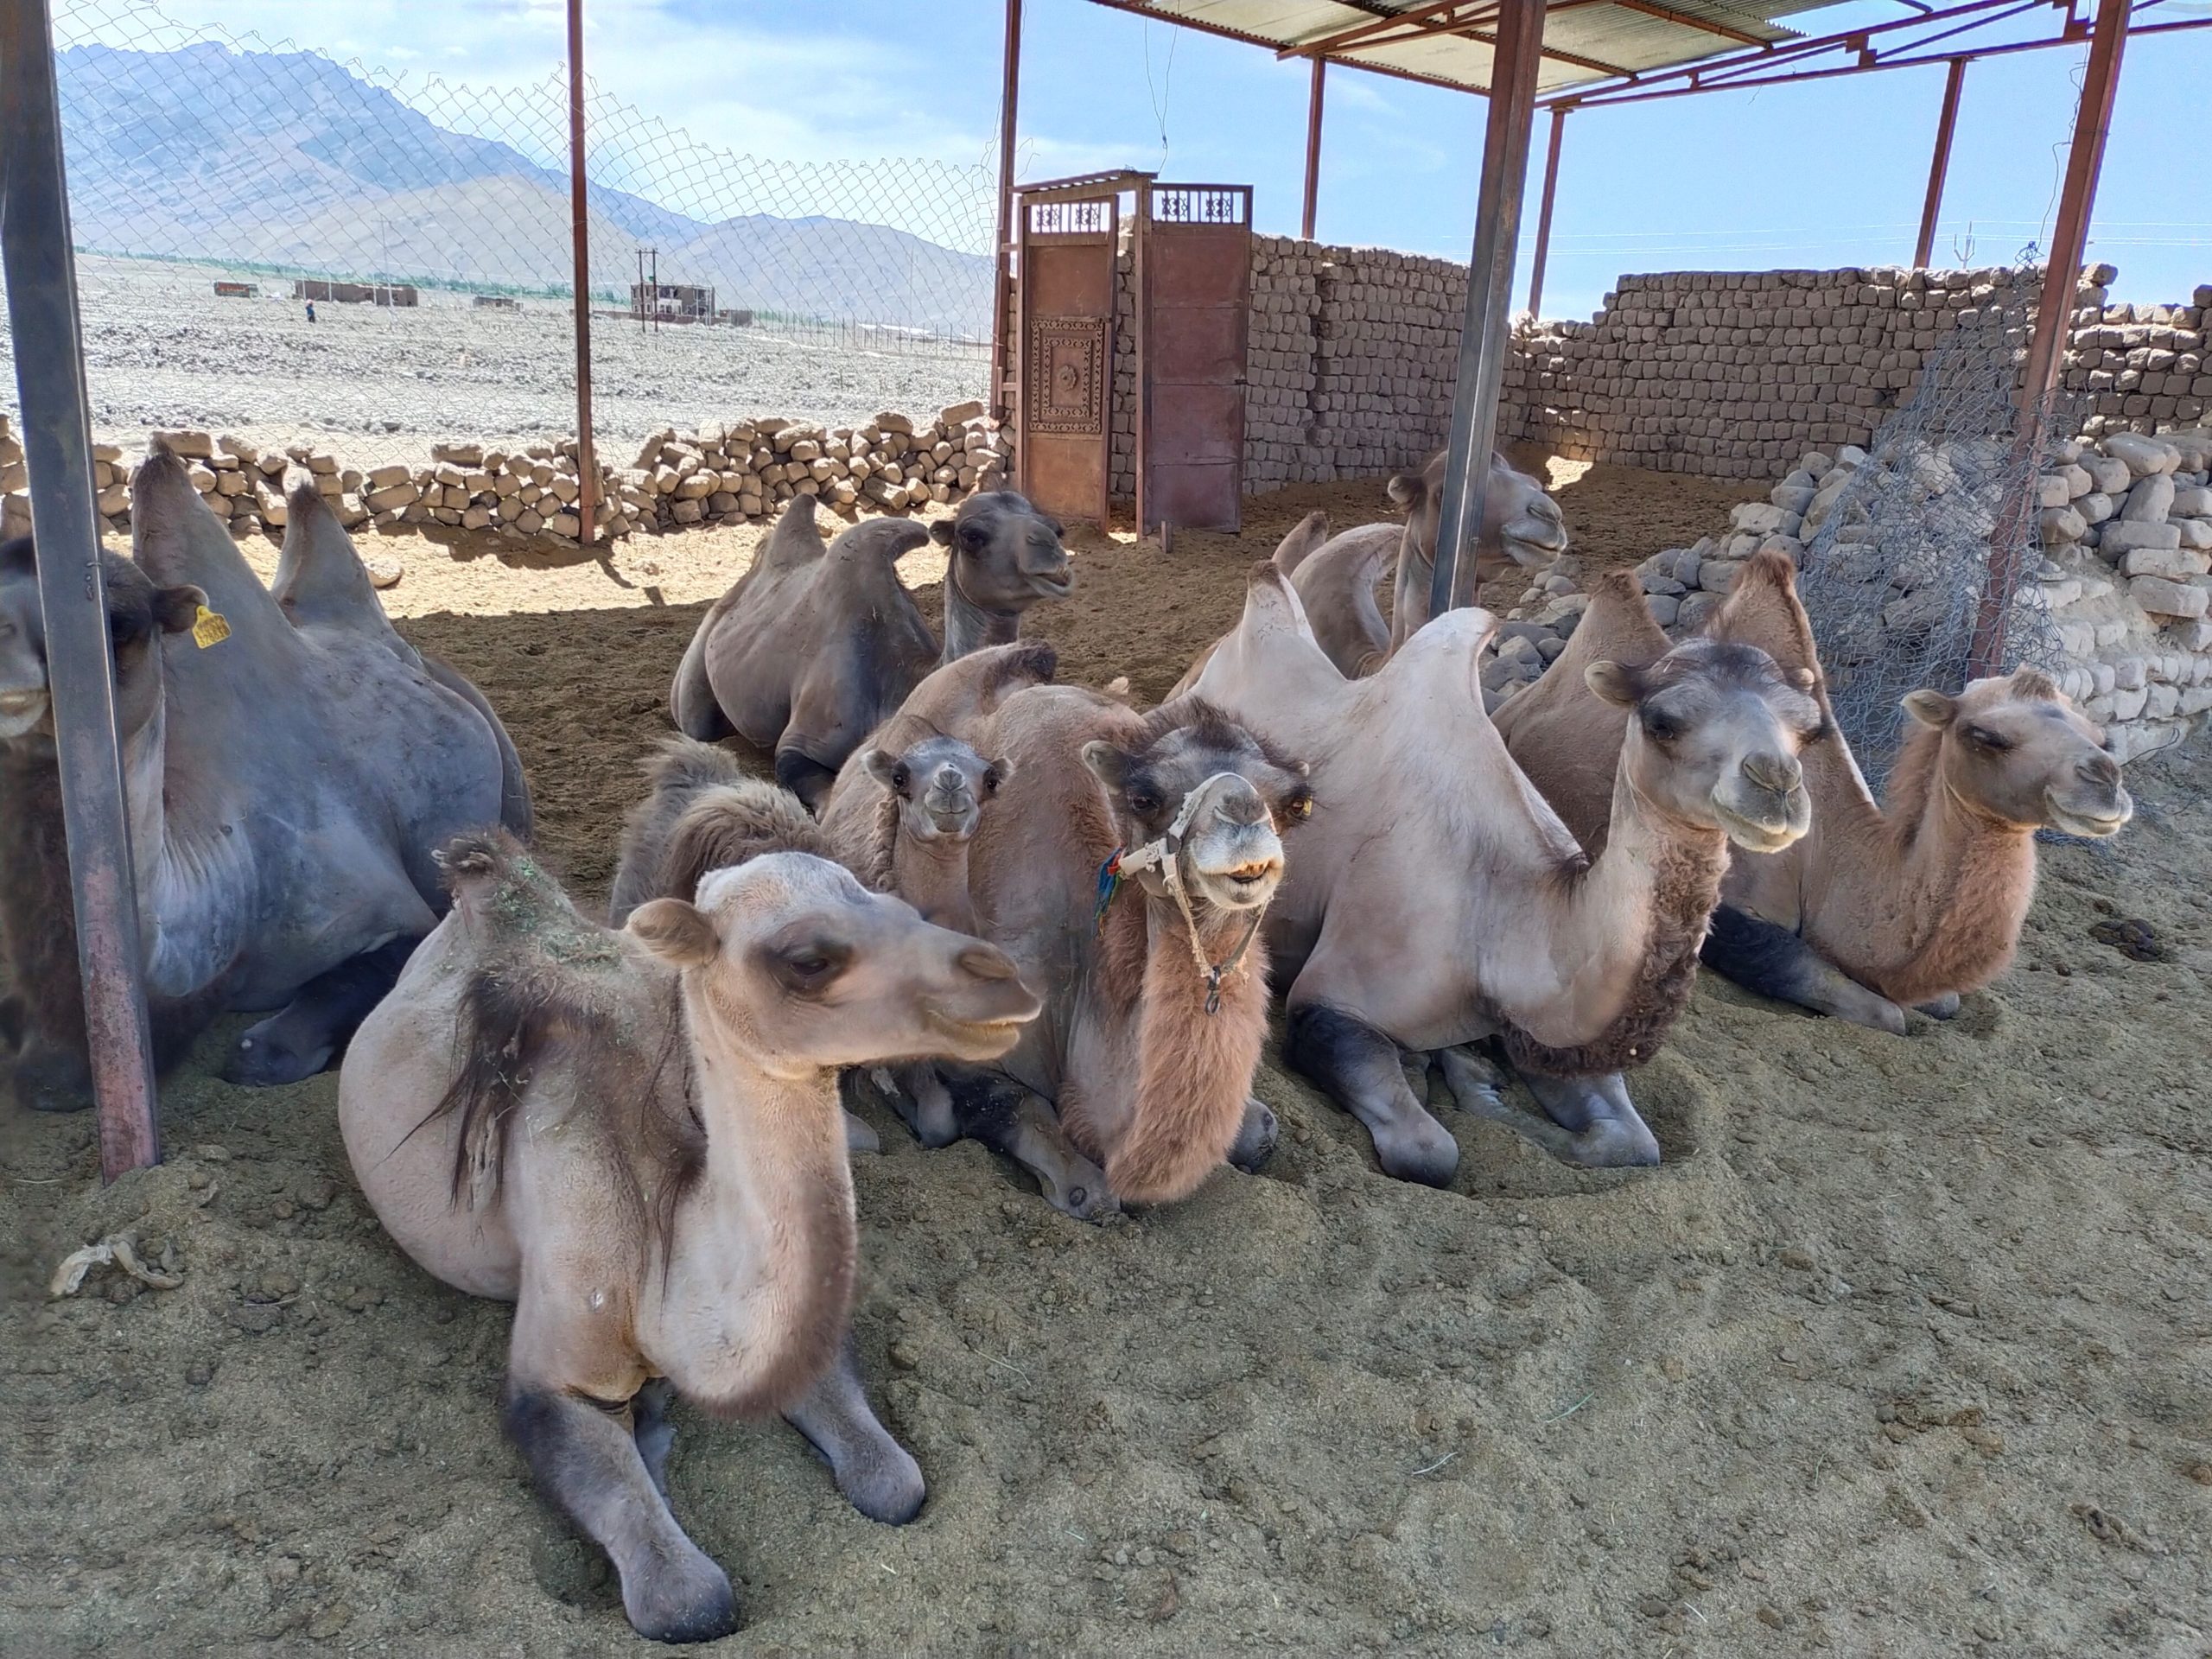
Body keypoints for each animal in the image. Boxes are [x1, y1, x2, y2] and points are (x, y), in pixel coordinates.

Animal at [340, 831, 1039, 1654]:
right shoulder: (555, 1370)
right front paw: (653, 1439)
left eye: (900, 907)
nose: (1005, 980)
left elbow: (895, 1481)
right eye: (808, 959)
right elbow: (689, 1601)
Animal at [1203, 566, 1822, 1185]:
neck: (1501, 914)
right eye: (1662, 722)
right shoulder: (1333, 1001)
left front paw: (1469, 1072)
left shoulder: (1543, 1031)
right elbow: (1430, 1152)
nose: (1779, 788)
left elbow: (1633, 1141)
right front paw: (1468, 1079)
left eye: (1809, 729)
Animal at [1495, 553, 2132, 1035]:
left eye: (2099, 732)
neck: (1832, 857)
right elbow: (1877, 1008)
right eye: (1988, 737)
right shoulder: (1735, 907)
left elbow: (1944, 1000)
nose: (2106, 778)